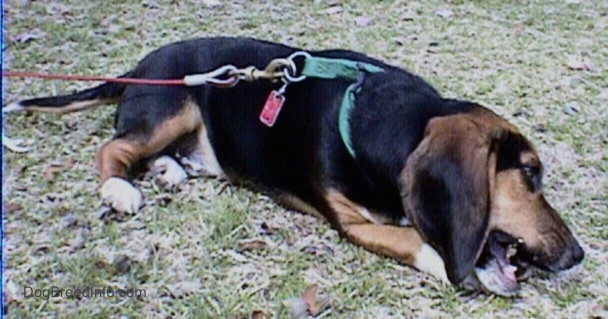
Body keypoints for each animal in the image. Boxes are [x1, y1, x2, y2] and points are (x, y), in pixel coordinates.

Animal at [4, 37, 584, 298]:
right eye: (530, 173)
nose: (578, 255)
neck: (380, 120)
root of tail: (138, 70)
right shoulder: (350, 223)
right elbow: (413, 240)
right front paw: (450, 265)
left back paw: (173, 169)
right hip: (176, 106)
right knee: (114, 151)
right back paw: (120, 190)